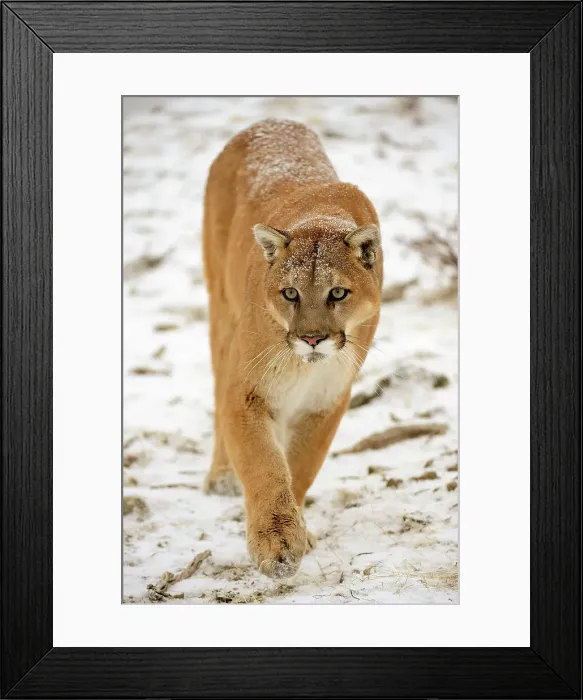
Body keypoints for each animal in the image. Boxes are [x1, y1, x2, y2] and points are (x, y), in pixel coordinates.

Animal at [202, 118, 382, 579]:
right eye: (290, 293)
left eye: (338, 292)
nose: (312, 338)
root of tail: (268, 122)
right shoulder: (247, 390)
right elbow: (265, 464)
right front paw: (276, 546)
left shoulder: (326, 399)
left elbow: (299, 466)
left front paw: (297, 533)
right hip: (221, 317)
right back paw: (221, 477)